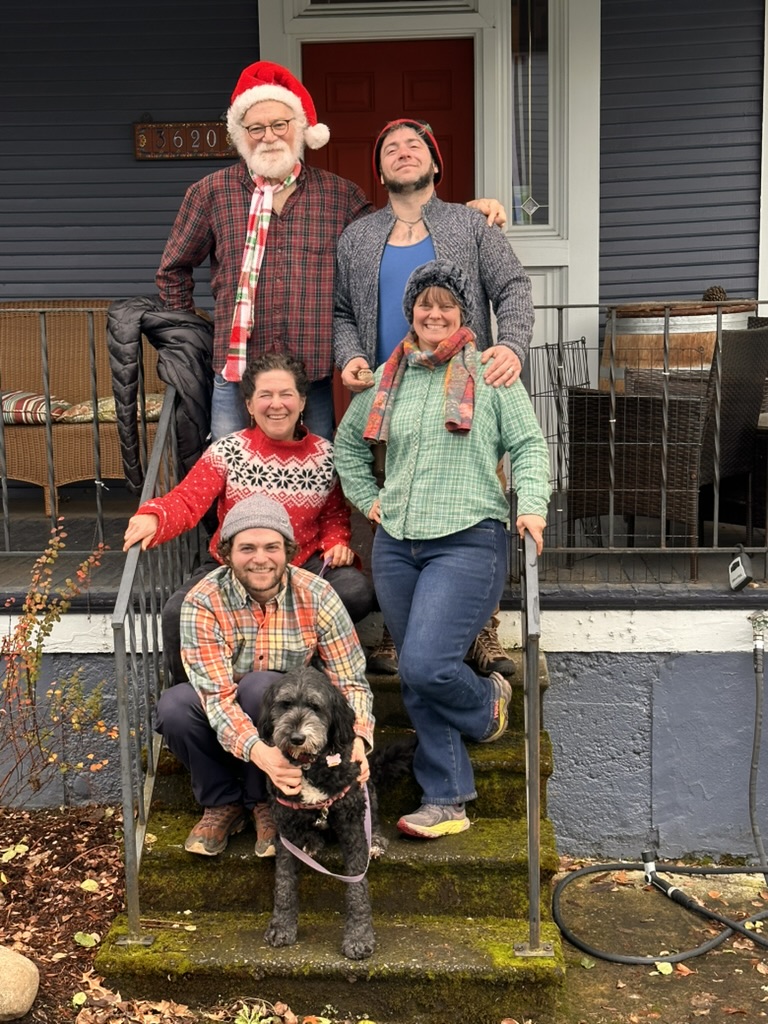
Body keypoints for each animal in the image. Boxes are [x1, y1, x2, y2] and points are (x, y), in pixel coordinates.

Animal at [258, 664, 397, 960]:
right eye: (285, 704)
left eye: (315, 706)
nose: (296, 738)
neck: (309, 766)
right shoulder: (285, 828)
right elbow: (284, 883)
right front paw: (281, 926)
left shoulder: (352, 824)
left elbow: (357, 886)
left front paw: (359, 937)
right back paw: (312, 841)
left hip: (366, 786)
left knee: (374, 816)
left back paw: (377, 841)